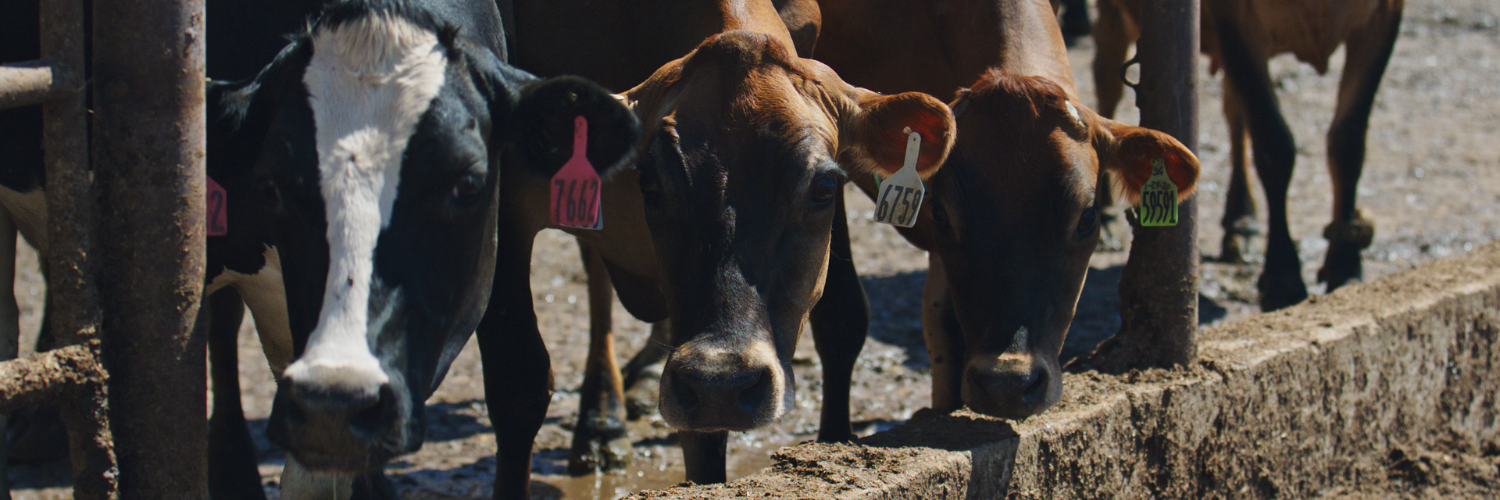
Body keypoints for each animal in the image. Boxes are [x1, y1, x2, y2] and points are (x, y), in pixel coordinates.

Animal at [1092, 0, 1404, 310]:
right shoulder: (1234, 18)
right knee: (1107, 84)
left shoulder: (1385, 13)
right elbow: (1274, 143)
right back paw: (1104, 214)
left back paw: (1241, 219)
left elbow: (1348, 141)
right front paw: (1282, 275)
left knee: (1234, 111)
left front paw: (1345, 264)